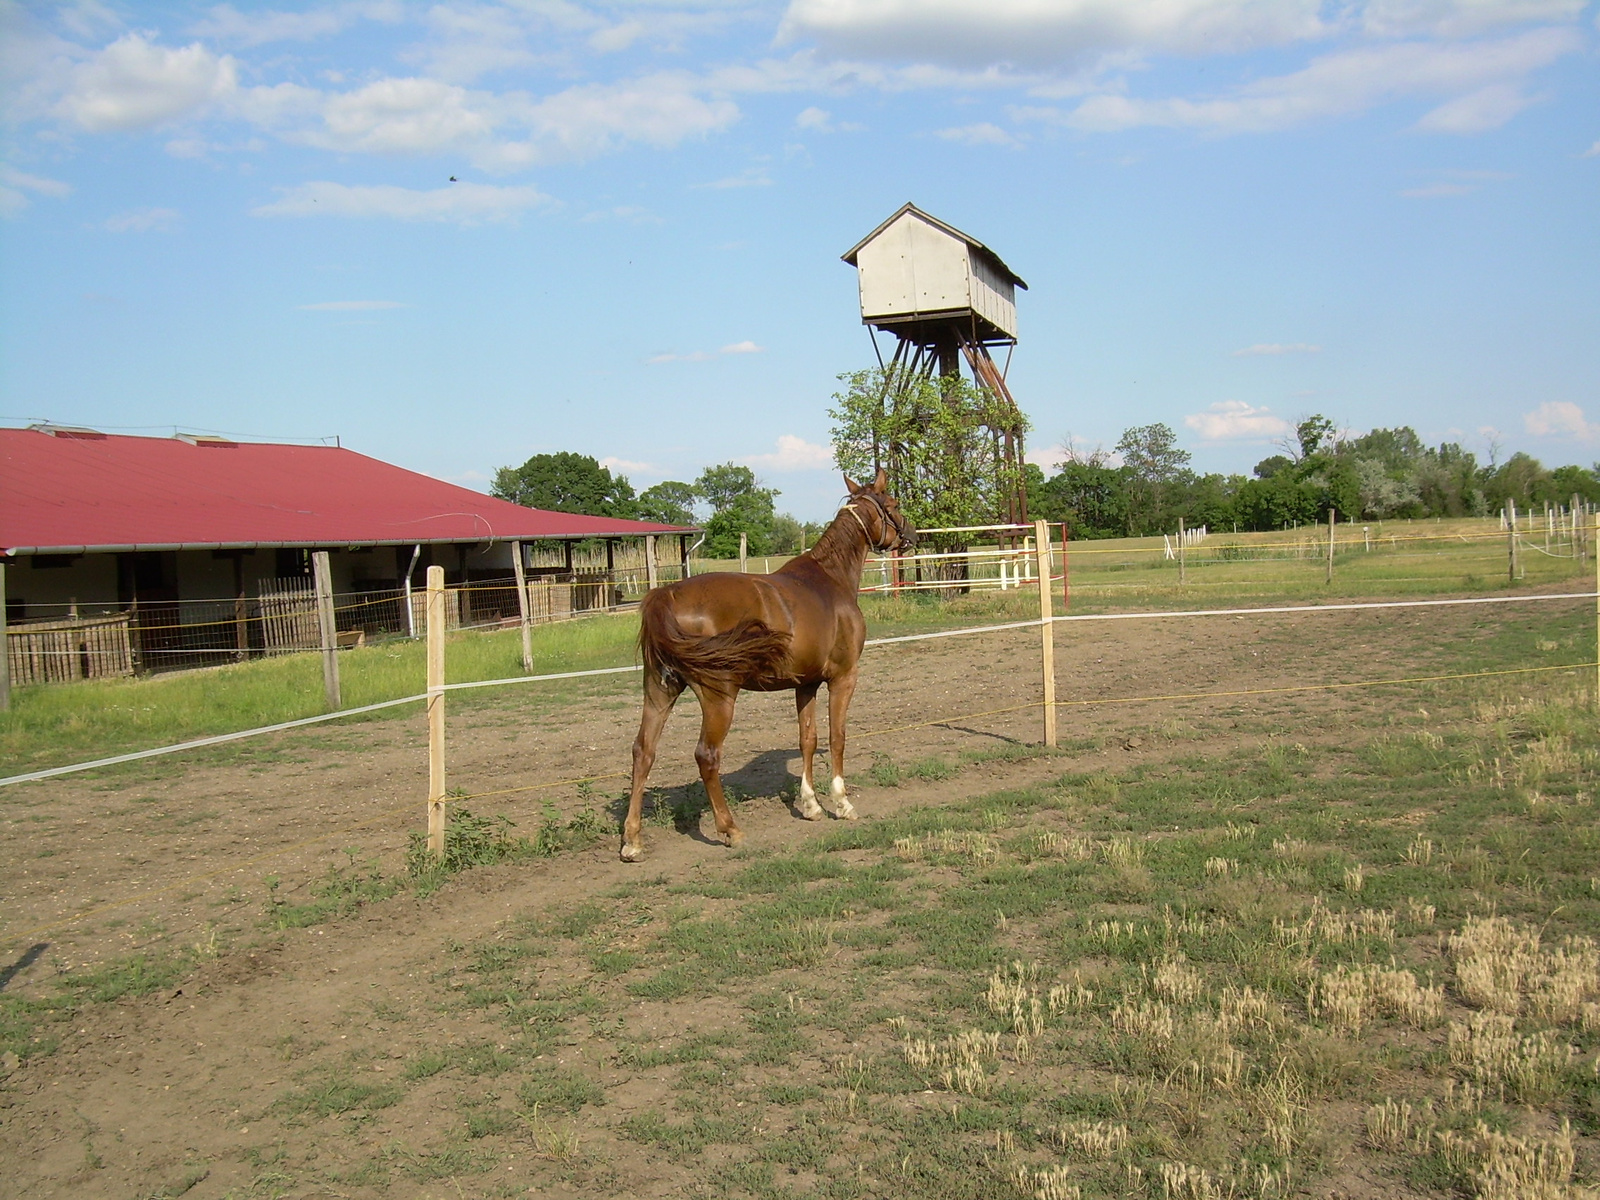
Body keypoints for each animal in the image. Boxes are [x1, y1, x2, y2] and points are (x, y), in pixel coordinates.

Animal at [620, 473, 915, 864]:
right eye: (894, 504)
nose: (911, 534)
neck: (830, 579)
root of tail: (665, 596)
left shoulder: (806, 684)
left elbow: (808, 739)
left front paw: (811, 806)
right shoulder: (843, 678)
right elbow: (837, 737)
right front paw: (841, 803)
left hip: (659, 690)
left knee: (643, 752)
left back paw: (632, 840)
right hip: (718, 698)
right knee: (706, 756)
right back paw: (730, 829)